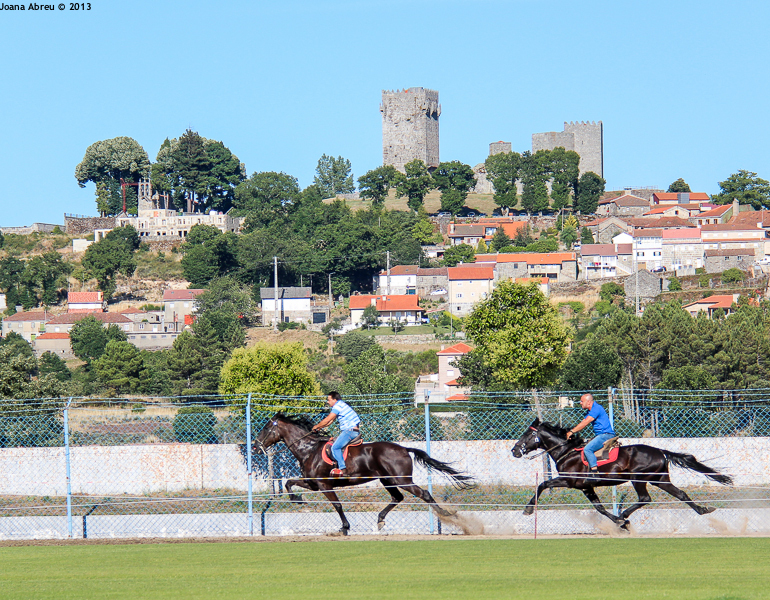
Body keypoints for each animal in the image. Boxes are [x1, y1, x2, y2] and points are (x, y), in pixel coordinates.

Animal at [254, 412, 474, 535]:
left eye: (265, 428)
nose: (256, 447)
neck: (309, 449)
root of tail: (403, 448)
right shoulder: (313, 483)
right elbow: (289, 483)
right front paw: (297, 499)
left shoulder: (324, 485)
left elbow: (337, 505)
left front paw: (345, 527)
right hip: (388, 481)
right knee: (397, 498)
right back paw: (380, 519)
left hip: (402, 479)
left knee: (424, 494)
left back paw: (446, 514)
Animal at [511, 418, 733, 529]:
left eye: (527, 435)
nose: (514, 450)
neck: (567, 451)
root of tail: (660, 451)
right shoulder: (587, 487)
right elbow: (599, 508)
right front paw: (619, 522)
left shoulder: (569, 481)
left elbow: (542, 485)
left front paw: (528, 509)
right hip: (660, 480)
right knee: (681, 494)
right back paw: (703, 510)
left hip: (639, 479)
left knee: (645, 498)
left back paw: (625, 514)